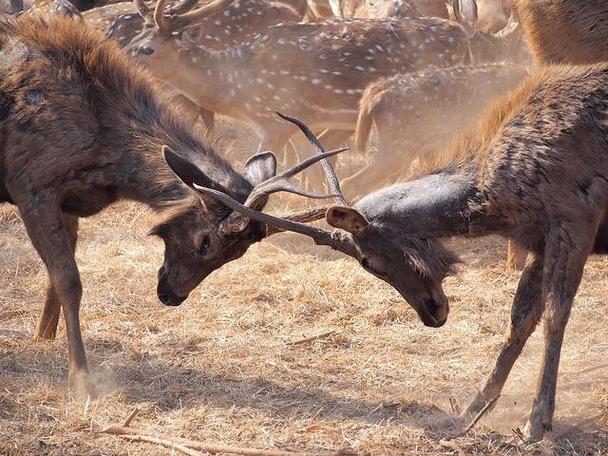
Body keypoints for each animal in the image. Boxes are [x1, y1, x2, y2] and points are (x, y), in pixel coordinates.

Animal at [0, 13, 342, 392]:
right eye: (205, 241)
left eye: (237, 253)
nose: (172, 296)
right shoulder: (33, 186)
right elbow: (69, 280)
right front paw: (81, 376)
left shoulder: (68, 202)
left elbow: (55, 278)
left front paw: (43, 335)